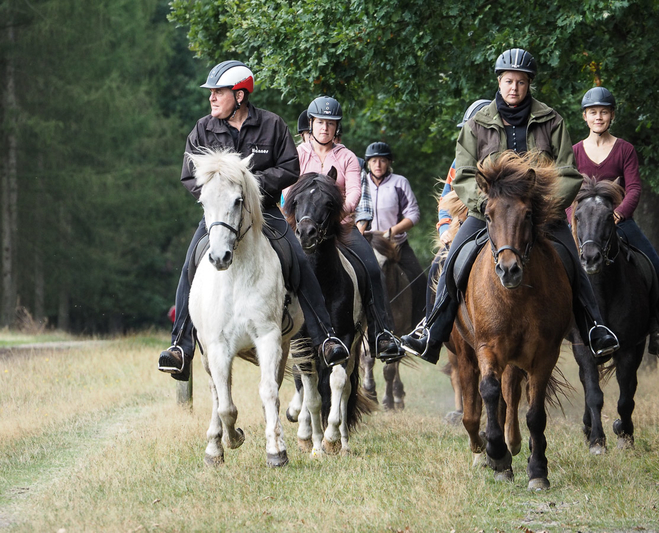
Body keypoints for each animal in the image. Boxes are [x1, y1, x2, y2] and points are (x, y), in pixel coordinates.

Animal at [186, 149, 304, 466]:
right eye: (202, 201)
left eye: (238, 200)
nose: (219, 257)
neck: (236, 276)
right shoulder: (217, 346)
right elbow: (226, 406)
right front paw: (232, 438)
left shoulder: (268, 337)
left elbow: (269, 391)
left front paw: (276, 449)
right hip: (206, 353)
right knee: (217, 393)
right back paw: (214, 447)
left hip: (284, 345)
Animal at [284, 168, 376, 456]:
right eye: (296, 201)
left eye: (328, 203)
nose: (306, 232)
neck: (321, 285)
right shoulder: (302, 343)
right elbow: (311, 394)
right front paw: (314, 445)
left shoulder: (343, 340)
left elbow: (337, 384)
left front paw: (332, 439)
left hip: (354, 346)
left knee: (345, 388)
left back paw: (343, 443)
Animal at [452, 151, 576, 490]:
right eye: (488, 215)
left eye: (527, 215)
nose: (509, 270)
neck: (516, 297)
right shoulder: (487, 349)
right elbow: (488, 392)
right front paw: (497, 456)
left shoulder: (544, 354)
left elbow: (534, 413)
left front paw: (538, 470)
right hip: (469, 353)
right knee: (481, 405)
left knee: (513, 396)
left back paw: (517, 443)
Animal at [568, 177, 656, 450]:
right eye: (577, 215)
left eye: (609, 216)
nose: (591, 258)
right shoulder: (583, 347)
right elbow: (594, 394)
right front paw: (597, 440)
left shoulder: (630, 347)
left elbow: (626, 396)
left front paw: (624, 434)